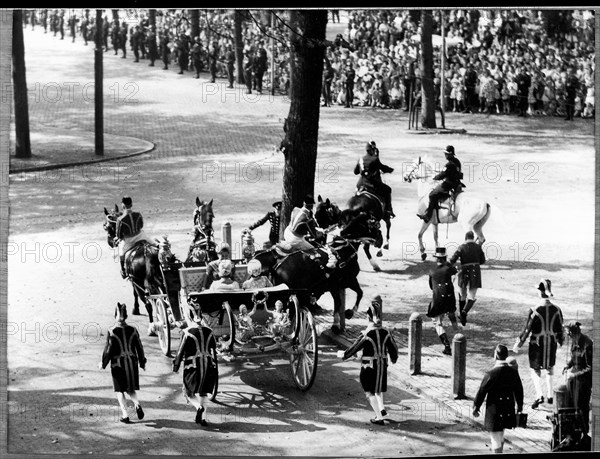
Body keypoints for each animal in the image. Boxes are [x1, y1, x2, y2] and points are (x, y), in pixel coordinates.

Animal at [102, 207, 163, 336]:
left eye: (106, 226)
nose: (110, 241)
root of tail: (146, 252)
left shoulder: (134, 281)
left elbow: (134, 293)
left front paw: (136, 309)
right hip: (159, 279)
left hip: (139, 282)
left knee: (148, 304)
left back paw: (152, 327)